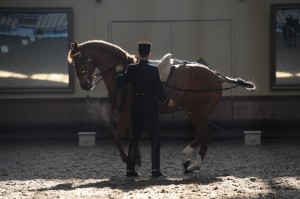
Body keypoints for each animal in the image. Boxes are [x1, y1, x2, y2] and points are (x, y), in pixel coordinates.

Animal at [68, 39, 255, 173]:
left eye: (78, 62)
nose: (85, 85)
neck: (122, 75)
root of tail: (217, 76)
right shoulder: (129, 114)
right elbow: (127, 137)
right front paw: (135, 161)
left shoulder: (125, 113)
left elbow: (120, 138)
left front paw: (130, 161)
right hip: (200, 113)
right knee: (205, 135)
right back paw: (192, 164)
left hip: (195, 112)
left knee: (204, 134)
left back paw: (189, 160)